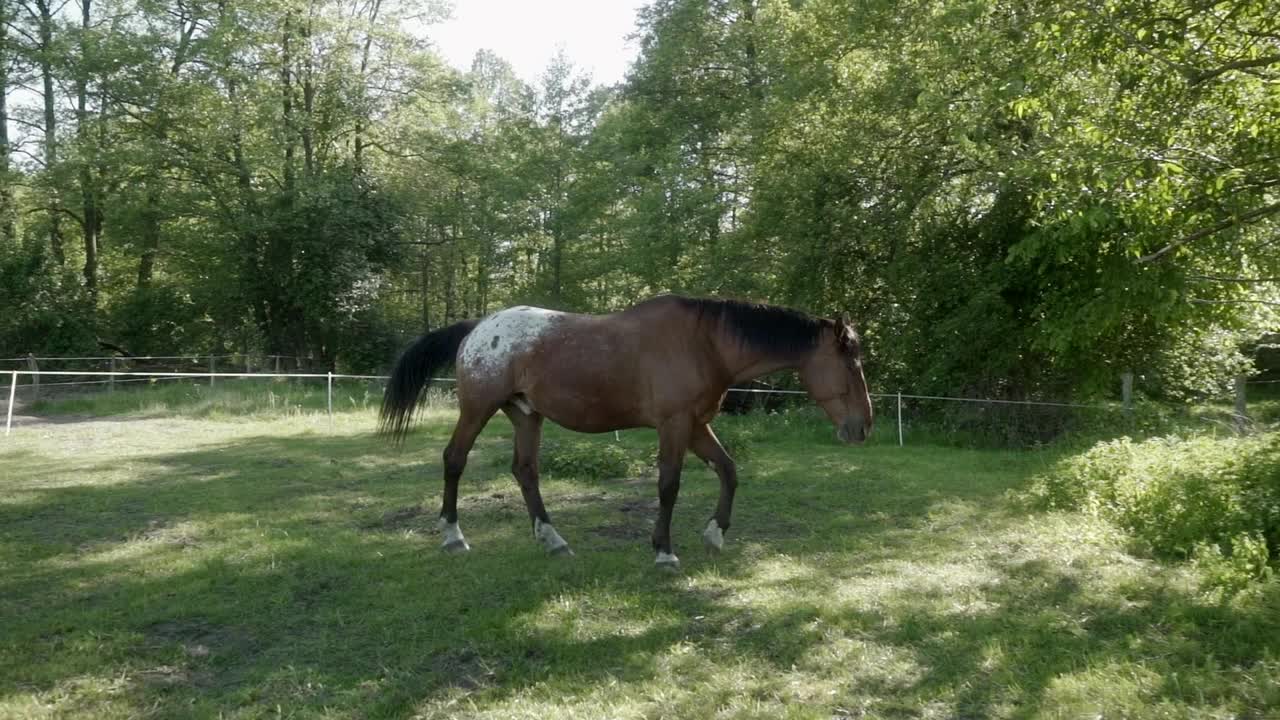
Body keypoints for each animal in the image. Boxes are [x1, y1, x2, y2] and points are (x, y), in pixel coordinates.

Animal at [376, 292, 870, 566]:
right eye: (851, 362)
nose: (864, 426)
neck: (704, 343)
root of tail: (479, 327)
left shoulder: (695, 426)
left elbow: (729, 471)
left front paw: (715, 534)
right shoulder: (674, 426)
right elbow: (669, 485)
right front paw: (664, 551)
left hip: (526, 415)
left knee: (525, 471)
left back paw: (552, 540)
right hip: (478, 409)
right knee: (454, 460)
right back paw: (454, 537)